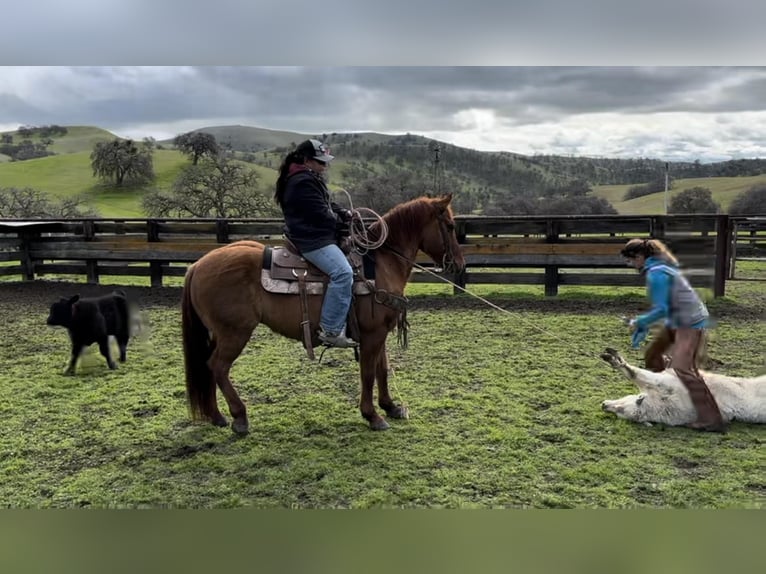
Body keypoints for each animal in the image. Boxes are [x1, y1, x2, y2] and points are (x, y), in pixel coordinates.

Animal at [182, 196, 468, 434]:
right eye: (450, 226)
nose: (460, 264)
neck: (381, 263)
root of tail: (197, 265)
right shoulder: (372, 335)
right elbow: (368, 373)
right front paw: (373, 416)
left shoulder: (380, 333)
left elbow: (383, 369)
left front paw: (391, 406)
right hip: (235, 333)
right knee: (218, 366)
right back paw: (239, 417)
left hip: (219, 334)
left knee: (208, 366)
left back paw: (217, 416)